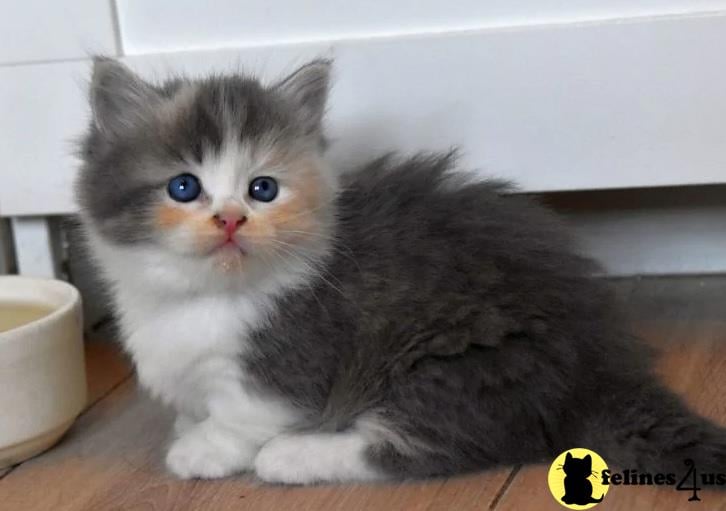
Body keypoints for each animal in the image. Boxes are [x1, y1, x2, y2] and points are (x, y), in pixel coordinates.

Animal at [75, 58, 726, 486]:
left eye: (263, 190)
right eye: (184, 187)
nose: (231, 219)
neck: (201, 294)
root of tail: (600, 364)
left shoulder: (289, 360)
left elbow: (244, 414)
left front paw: (205, 448)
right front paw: (188, 423)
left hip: (458, 361)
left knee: (432, 447)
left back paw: (296, 457)